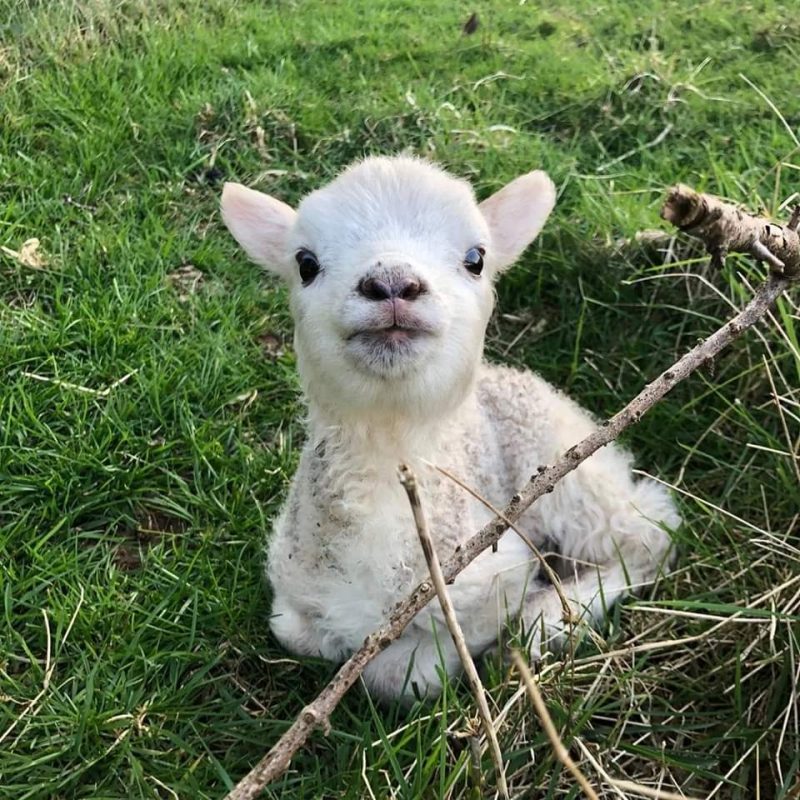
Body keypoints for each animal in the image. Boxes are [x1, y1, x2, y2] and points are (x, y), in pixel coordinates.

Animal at [221, 156, 680, 702]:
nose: (392, 283)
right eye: (305, 263)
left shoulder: (495, 574)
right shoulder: (294, 583)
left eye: (475, 258)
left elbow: (398, 674)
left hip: (571, 475)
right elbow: (293, 632)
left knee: (650, 534)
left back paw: (550, 619)